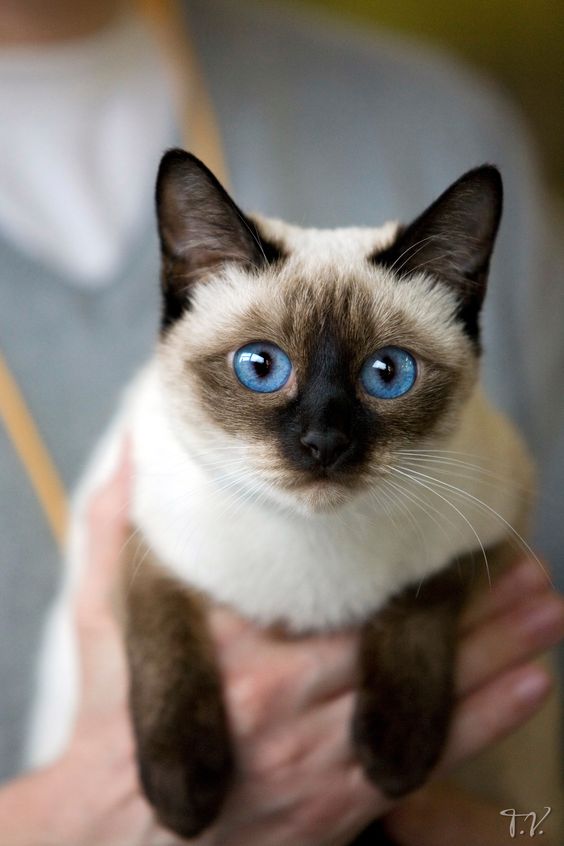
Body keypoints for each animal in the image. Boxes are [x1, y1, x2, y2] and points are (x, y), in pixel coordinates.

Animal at [27, 151, 560, 840]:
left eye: (388, 374)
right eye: (261, 367)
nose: (323, 443)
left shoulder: (491, 530)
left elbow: (420, 597)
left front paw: (394, 755)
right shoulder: (142, 543)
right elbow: (163, 637)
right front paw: (183, 799)